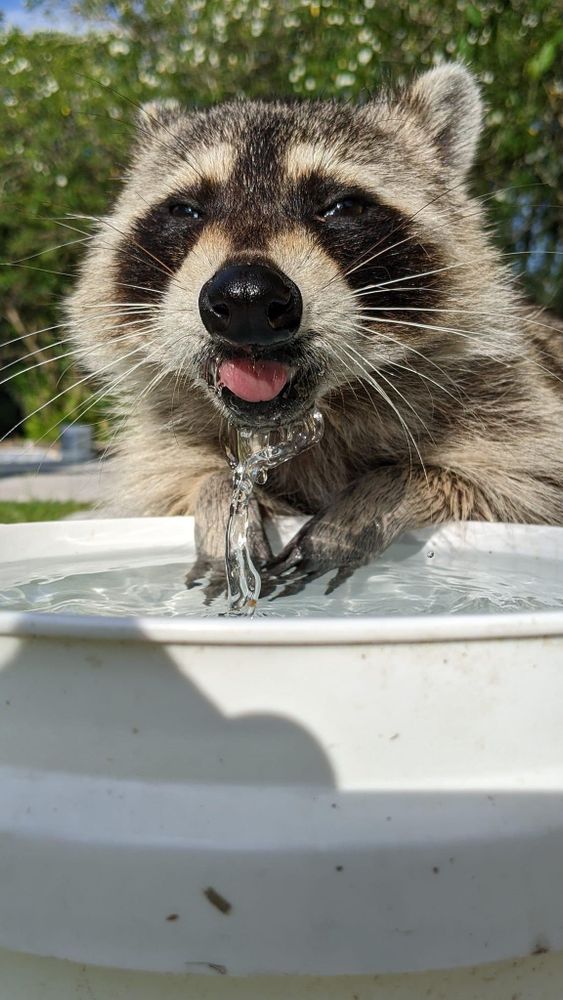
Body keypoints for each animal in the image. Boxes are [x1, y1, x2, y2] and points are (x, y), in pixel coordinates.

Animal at [67, 63, 563, 597]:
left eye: (342, 206)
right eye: (185, 209)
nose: (246, 298)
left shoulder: (511, 403)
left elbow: (515, 485)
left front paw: (391, 488)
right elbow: (177, 484)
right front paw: (218, 491)